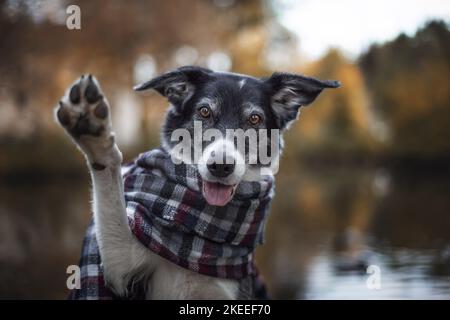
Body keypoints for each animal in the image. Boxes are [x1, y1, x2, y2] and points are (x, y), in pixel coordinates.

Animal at [55, 66, 338, 298]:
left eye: (255, 119)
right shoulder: (122, 268)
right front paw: (91, 130)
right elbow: (110, 186)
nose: (221, 166)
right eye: (204, 111)